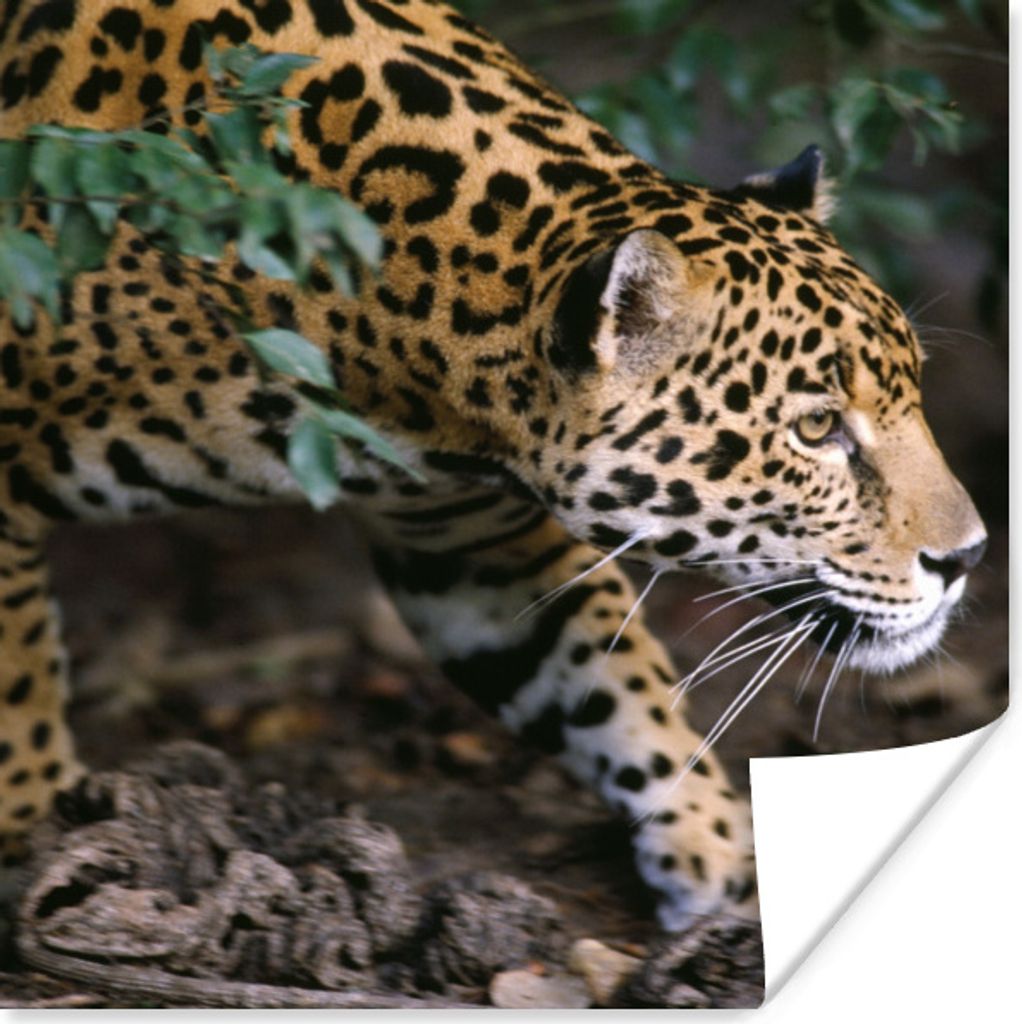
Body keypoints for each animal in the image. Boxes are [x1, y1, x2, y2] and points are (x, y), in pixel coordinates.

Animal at [0, 0, 986, 931]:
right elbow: (20, 688)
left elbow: (605, 675)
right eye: (817, 428)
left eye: (911, 391)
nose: (968, 556)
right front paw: (40, 830)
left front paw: (716, 845)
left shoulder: (469, 539)